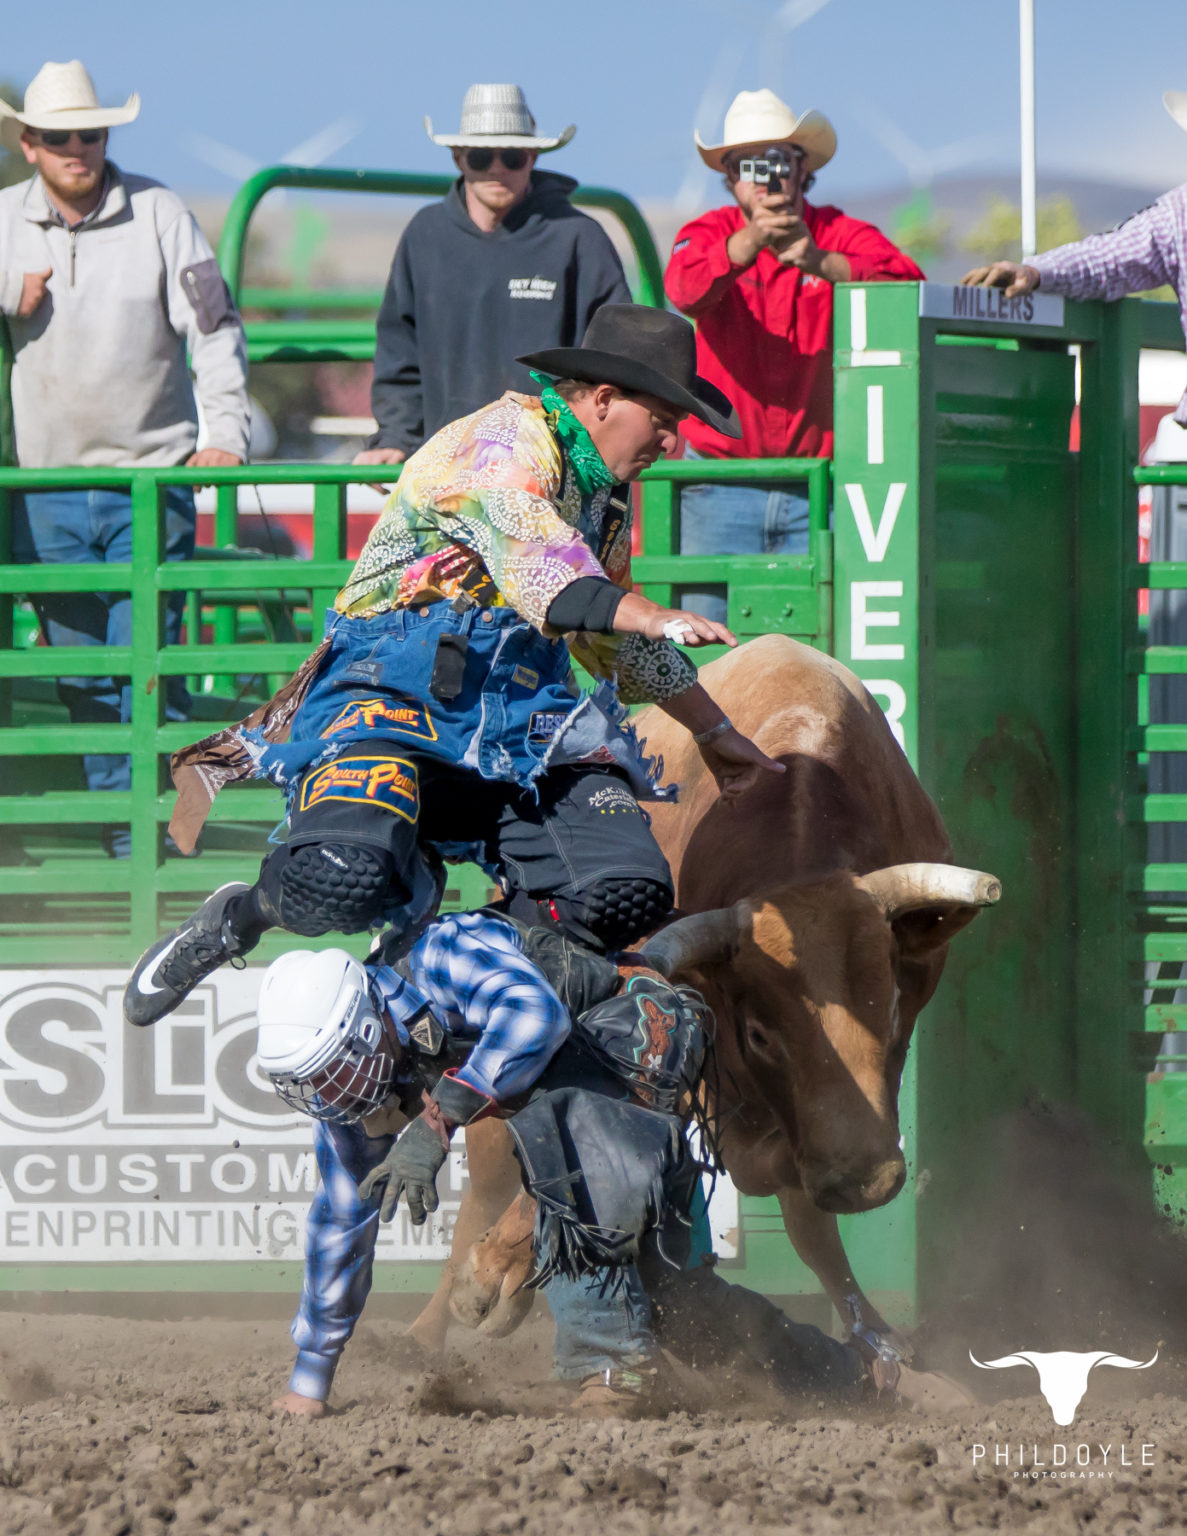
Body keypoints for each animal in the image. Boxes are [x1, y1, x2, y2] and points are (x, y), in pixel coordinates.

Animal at [411, 629, 995, 1351]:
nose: (865, 1181)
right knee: (491, 1170)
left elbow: (804, 1213)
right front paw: (494, 1275)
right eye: (759, 1034)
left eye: (889, 1011)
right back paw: (432, 1324)